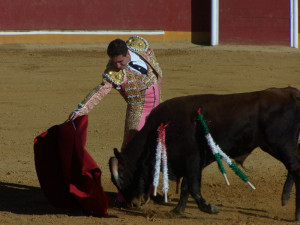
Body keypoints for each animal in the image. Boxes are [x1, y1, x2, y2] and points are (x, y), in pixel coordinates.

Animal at [109, 87, 300, 220]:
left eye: (123, 176)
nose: (133, 204)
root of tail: (289, 91)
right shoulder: (190, 163)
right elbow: (186, 187)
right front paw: (177, 210)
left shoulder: (192, 159)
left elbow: (193, 187)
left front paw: (209, 208)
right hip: (280, 146)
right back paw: (285, 198)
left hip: (280, 145)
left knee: (295, 169)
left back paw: (295, 213)